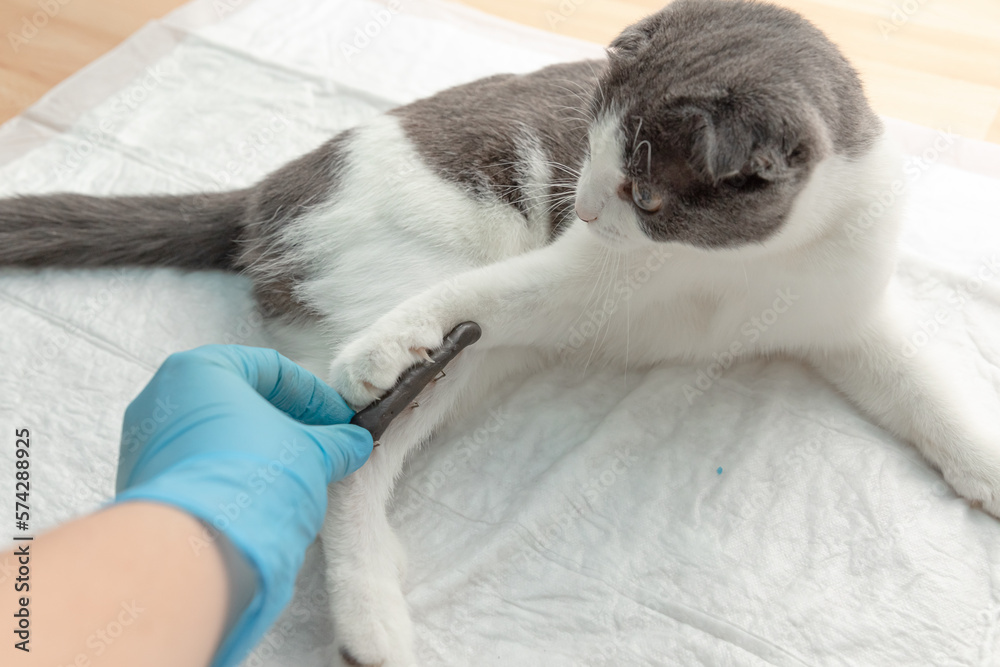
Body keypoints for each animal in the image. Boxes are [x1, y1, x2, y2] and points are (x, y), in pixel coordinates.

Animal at [1, 1, 1000, 667]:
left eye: (645, 191)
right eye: (590, 146)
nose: (585, 207)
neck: (737, 268)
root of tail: (266, 191)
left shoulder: (846, 314)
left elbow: (923, 389)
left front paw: (984, 467)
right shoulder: (573, 275)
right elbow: (479, 292)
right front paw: (380, 345)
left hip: (480, 365)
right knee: (354, 461)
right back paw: (373, 621)